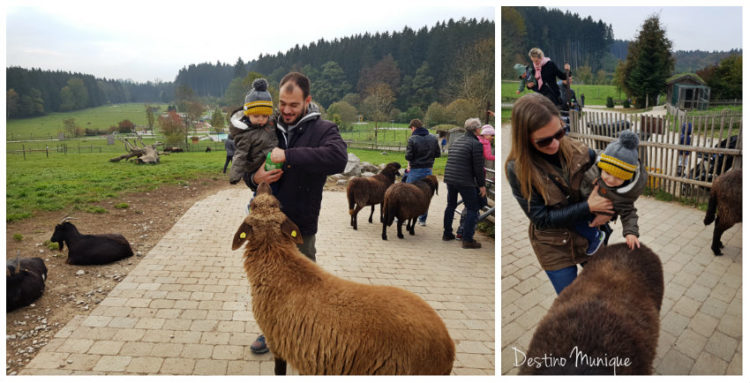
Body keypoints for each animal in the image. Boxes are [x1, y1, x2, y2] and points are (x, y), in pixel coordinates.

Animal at [232, 183, 456, 376]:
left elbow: (279, 371)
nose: (263, 183)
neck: (277, 263)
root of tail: (448, 348)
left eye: (255, 205)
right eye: (274, 203)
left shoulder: (277, 341)